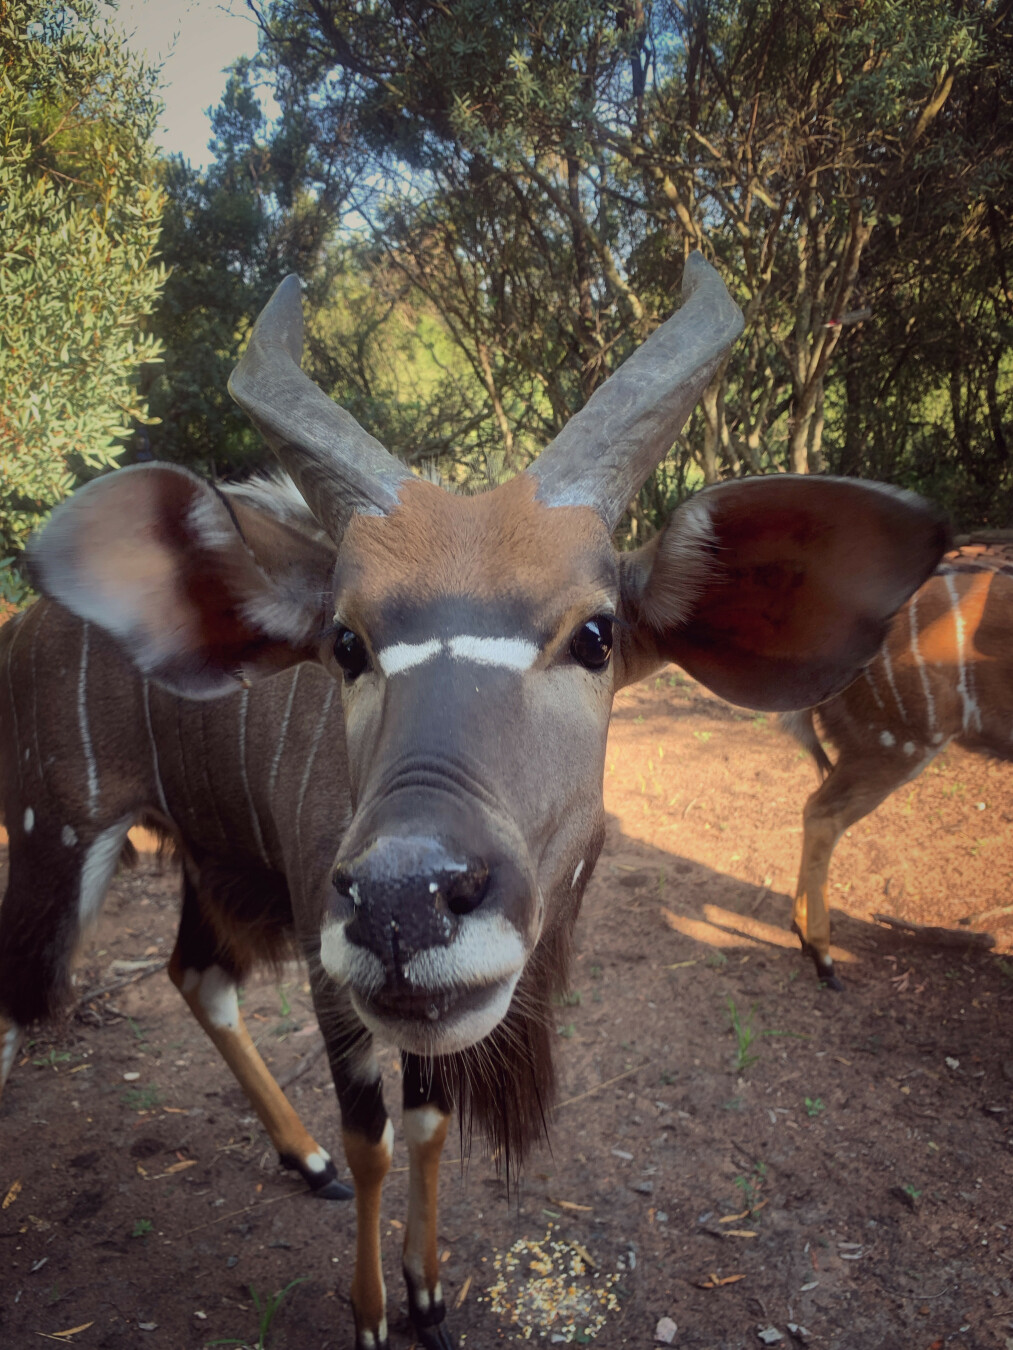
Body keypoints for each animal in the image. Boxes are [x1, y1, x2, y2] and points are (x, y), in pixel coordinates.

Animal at [1, 255, 950, 1350]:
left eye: (595, 635)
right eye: (345, 642)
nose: (403, 903)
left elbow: (426, 1123)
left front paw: (427, 1293)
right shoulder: (331, 965)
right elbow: (373, 1136)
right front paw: (374, 1312)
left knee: (196, 974)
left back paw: (301, 1159)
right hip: (54, 837)